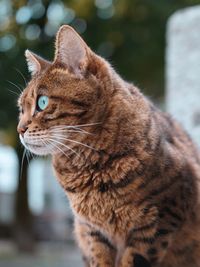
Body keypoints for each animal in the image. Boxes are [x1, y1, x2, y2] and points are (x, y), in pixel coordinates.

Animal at [16, 25, 200, 267]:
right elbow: (99, 259)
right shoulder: (91, 230)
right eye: (21, 109)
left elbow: (134, 259)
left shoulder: (160, 219)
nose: (19, 129)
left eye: (42, 102)